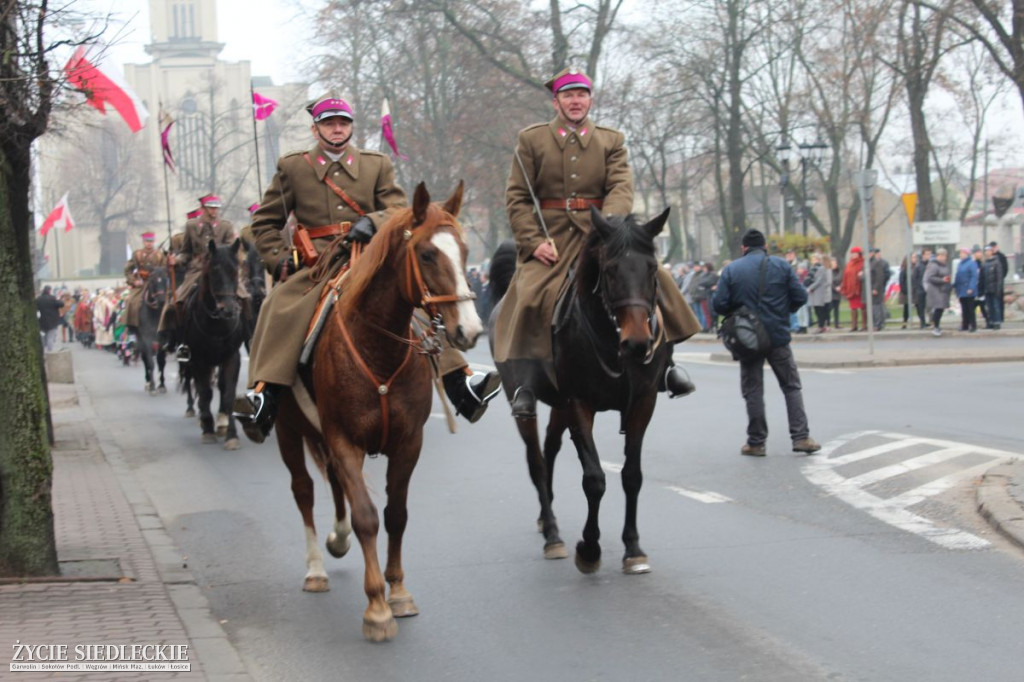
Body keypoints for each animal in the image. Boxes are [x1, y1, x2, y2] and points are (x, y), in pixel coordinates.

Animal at [180, 236, 247, 448]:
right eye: (214, 271)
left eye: (235, 270)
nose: (228, 309)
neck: (216, 323)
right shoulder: (199, 359)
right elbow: (205, 392)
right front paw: (208, 428)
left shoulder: (232, 357)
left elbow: (228, 394)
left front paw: (231, 434)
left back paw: (222, 422)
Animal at [272, 179, 479, 638]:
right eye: (427, 254)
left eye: (465, 250)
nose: (471, 330)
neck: (378, 347)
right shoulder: (343, 439)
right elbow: (367, 516)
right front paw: (377, 608)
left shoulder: (407, 442)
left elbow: (396, 514)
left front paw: (398, 592)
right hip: (288, 431)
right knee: (303, 490)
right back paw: (316, 567)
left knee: (333, 486)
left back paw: (337, 539)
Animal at [485, 206, 671, 573]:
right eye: (610, 270)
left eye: (652, 267)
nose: (638, 343)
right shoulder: (579, 403)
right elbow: (594, 478)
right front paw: (589, 548)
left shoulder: (643, 403)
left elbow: (632, 475)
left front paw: (633, 548)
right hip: (527, 404)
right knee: (536, 460)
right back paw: (552, 534)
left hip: (559, 406)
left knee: (550, 448)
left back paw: (547, 521)